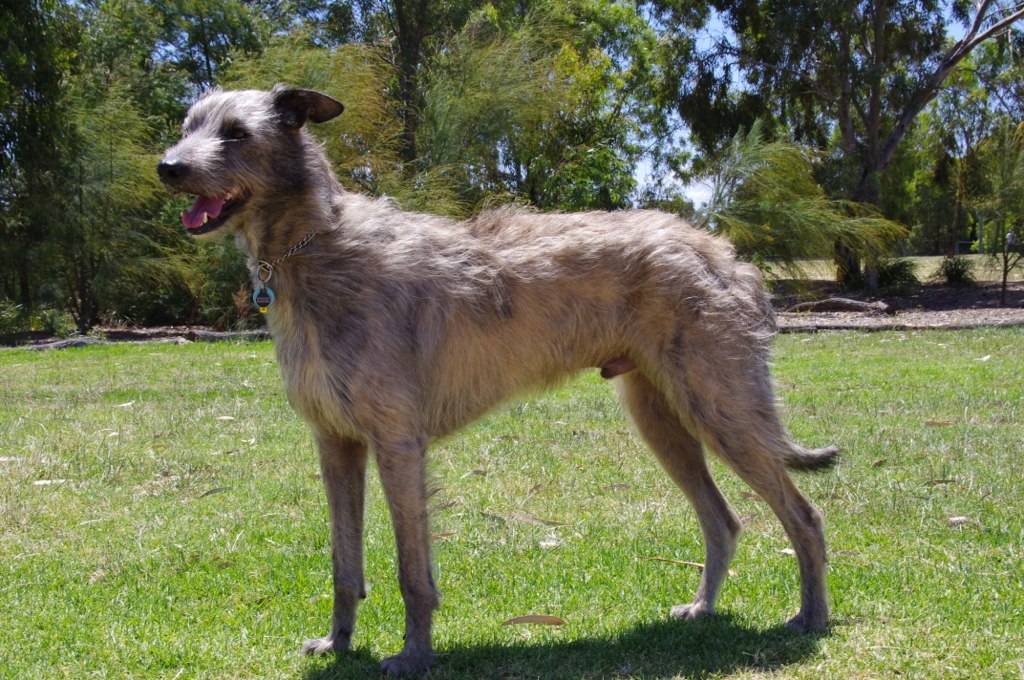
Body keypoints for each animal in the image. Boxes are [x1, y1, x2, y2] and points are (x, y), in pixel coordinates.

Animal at [155, 86, 835, 675]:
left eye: (237, 132)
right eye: (188, 125)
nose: (167, 168)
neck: (314, 248)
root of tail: (728, 255)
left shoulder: (397, 442)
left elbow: (413, 571)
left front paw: (414, 656)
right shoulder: (336, 443)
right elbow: (343, 564)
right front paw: (338, 642)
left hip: (721, 408)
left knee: (804, 516)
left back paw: (812, 618)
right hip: (661, 416)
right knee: (723, 520)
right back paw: (703, 608)